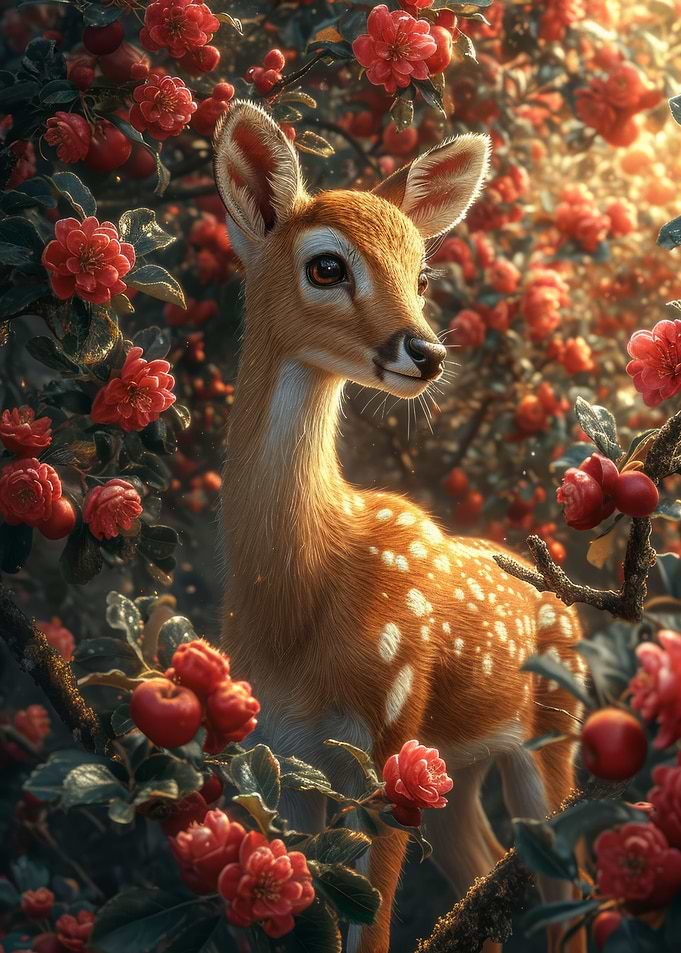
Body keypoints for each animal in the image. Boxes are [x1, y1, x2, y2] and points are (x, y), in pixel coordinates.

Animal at [213, 101, 585, 953]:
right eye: (326, 266)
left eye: (420, 274)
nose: (426, 352)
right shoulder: (281, 745)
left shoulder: (388, 726)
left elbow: (374, 924)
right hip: (456, 763)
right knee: (483, 863)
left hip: (552, 732)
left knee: (573, 886)